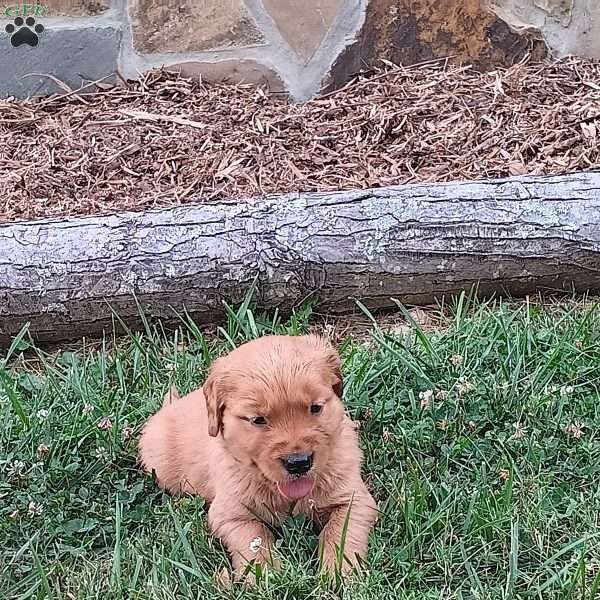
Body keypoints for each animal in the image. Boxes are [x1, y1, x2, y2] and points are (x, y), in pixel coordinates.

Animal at [138, 336, 378, 580]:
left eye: (316, 408)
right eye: (258, 420)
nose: (298, 462)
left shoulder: (354, 499)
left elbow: (340, 533)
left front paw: (339, 574)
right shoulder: (231, 515)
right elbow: (255, 538)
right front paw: (266, 576)